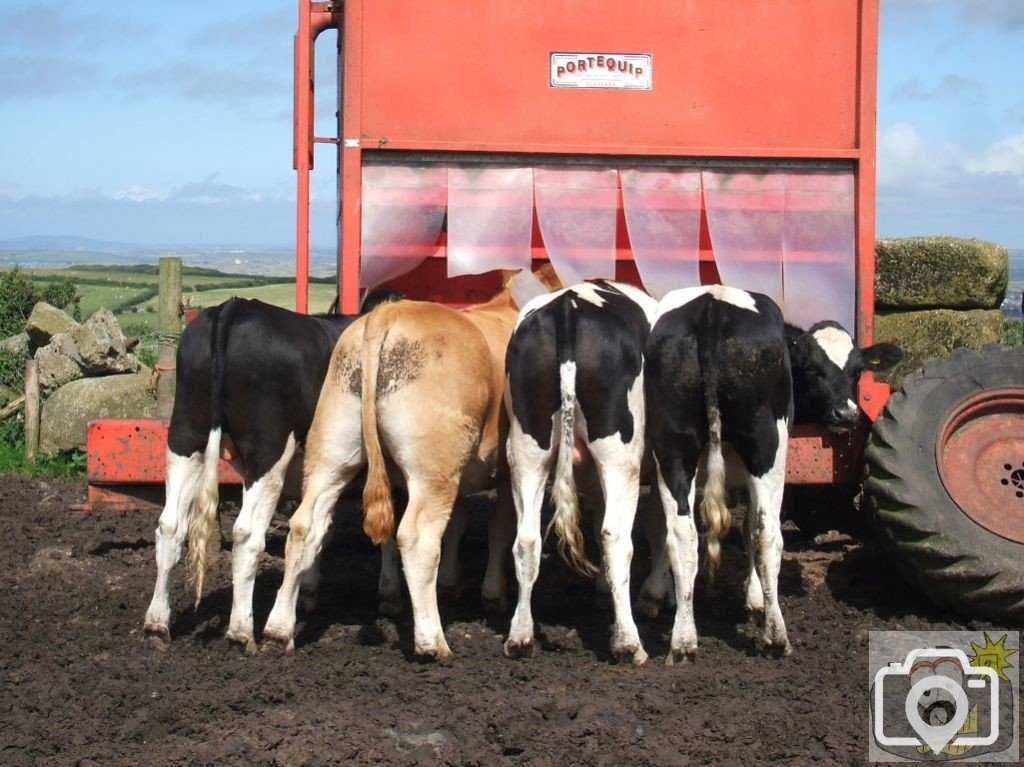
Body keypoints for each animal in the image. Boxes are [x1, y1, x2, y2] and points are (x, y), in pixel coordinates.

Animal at [142, 292, 409, 647]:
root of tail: (234, 307)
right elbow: (383, 528)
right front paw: (389, 594)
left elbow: (320, 528)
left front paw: (308, 591)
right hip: (267, 451)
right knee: (247, 535)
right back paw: (242, 631)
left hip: (187, 434)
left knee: (170, 526)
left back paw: (157, 623)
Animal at [260, 264, 557, 659]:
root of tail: (387, 314)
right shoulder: (509, 472)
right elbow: (499, 530)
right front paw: (492, 595)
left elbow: (459, 523)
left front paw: (451, 582)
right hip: (434, 468)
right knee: (417, 537)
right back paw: (432, 641)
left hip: (334, 450)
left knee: (304, 526)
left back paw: (279, 630)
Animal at [643, 284, 901, 659]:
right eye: (810, 369)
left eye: (857, 370)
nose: (847, 414)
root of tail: (712, 306)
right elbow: (751, 528)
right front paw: (754, 598)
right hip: (768, 448)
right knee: (767, 533)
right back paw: (775, 635)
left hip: (672, 444)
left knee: (682, 532)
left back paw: (683, 640)